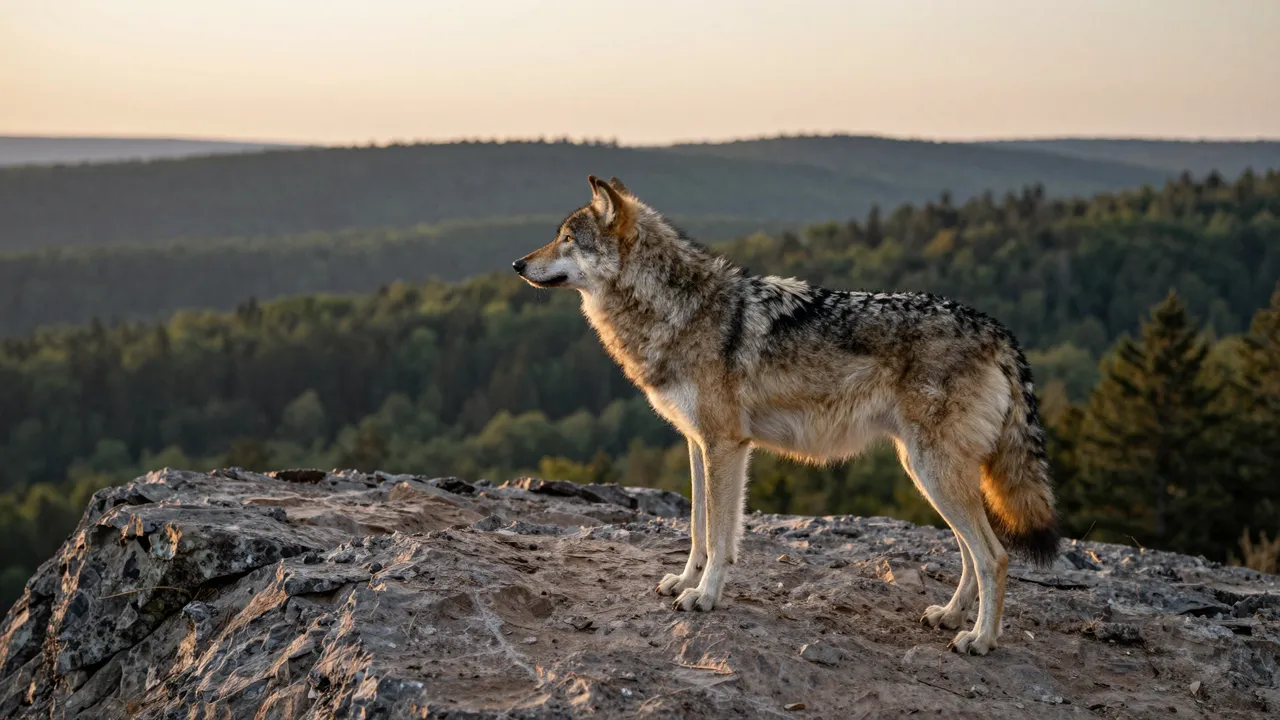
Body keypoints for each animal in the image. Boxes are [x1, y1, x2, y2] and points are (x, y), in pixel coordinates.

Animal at [512, 176, 1060, 655]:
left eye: (566, 239)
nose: (517, 263)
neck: (677, 309)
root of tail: (997, 329)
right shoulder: (698, 443)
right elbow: (698, 529)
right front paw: (685, 581)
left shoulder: (725, 445)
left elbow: (718, 533)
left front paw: (704, 597)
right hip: (927, 472)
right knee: (970, 553)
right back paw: (949, 616)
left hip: (935, 472)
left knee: (995, 556)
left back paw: (980, 640)